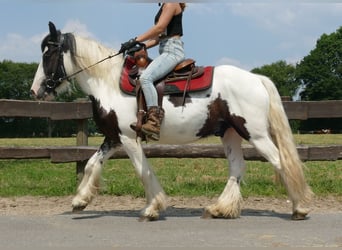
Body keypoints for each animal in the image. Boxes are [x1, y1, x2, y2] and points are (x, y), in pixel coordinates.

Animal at [30, 21, 312, 221]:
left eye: (48, 53)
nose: (35, 91)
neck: (108, 83)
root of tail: (257, 79)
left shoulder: (128, 138)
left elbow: (142, 170)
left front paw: (151, 208)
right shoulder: (113, 137)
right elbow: (90, 164)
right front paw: (80, 200)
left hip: (255, 133)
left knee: (280, 162)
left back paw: (299, 208)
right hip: (230, 133)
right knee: (237, 168)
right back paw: (220, 209)